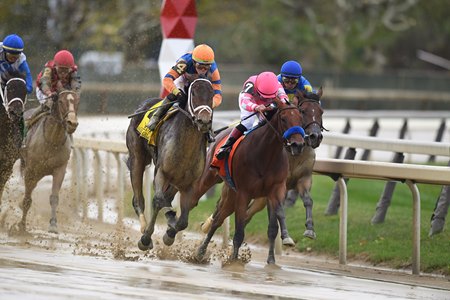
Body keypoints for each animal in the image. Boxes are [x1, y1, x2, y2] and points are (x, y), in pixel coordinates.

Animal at [19, 89, 80, 232]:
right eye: (61, 101)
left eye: (77, 102)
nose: (72, 123)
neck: (52, 141)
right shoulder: (30, 171)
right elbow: (27, 200)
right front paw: (22, 225)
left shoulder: (60, 170)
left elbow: (54, 198)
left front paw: (53, 225)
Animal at [124, 78, 214, 251]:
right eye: (193, 93)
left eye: (212, 95)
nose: (204, 121)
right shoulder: (161, 172)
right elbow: (158, 200)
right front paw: (146, 238)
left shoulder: (190, 183)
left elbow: (183, 221)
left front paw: (170, 233)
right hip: (137, 158)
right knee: (139, 199)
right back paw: (144, 227)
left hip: (175, 180)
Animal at [194, 97, 306, 264]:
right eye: (284, 119)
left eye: (300, 118)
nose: (297, 145)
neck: (265, 155)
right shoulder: (244, 193)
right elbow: (239, 232)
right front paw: (234, 261)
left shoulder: (275, 190)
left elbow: (276, 221)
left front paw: (282, 244)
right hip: (211, 179)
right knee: (197, 201)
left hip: (231, 194)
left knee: (218, 218)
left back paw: (201, 251)